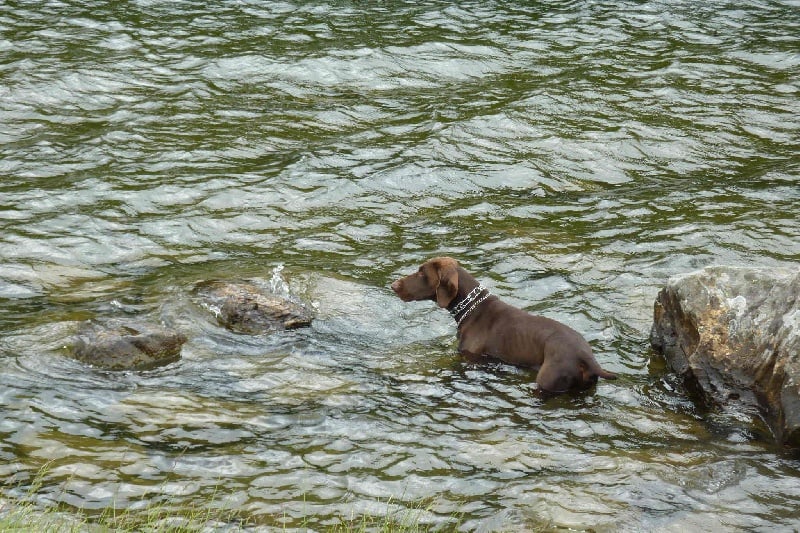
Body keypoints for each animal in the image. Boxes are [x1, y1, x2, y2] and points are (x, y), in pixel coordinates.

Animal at [390, 256, 616, 392]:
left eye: (422, 273)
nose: (393, 285)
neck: (474, 309)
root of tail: (587, 357)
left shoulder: (469, 357)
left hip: (547, 380)